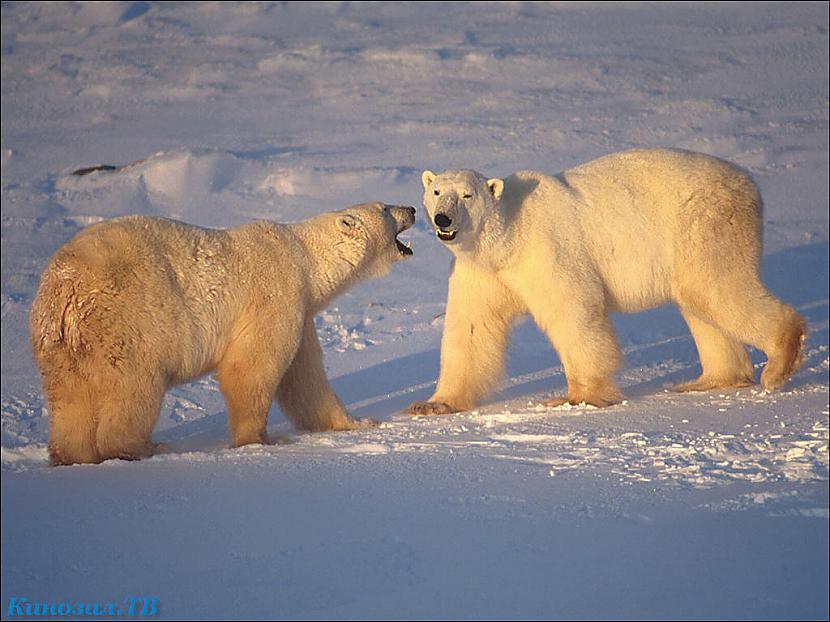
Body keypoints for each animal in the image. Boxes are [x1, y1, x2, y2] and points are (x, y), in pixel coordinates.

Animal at [31, 202, 416, 466]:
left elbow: (306, 379)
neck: (303, 257)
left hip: (63, 348)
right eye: (385, 208)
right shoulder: (276, 294)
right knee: (133, 390)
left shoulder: (302, 311)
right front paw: (259, 440)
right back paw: (143, 447)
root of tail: (65, 292)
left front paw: (357, 422)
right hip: (128, 325)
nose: (411, 208)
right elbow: (252, 367)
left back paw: (71, 455)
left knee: (71, 401)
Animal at [406, 149, 808, 416]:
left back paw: (778, 362)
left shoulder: (548, 249)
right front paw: (432, 404)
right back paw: (709, 380)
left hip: (704, 221)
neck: (508, 235)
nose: (443, 219)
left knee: (717, 287)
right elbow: (471, 328)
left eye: (467, 195)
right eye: (437, 192)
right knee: (699, 302)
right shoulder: (482, 272)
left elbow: (573, 311)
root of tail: (748, 183)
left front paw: (577, 396)